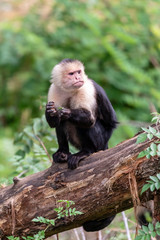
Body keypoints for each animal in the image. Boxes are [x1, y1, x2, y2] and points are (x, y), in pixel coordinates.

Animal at [45, 57, 117, 231]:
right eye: (71, 74)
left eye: (78, 72)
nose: (78, 77)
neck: (70, 90)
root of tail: (106, 145)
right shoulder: (54, 89)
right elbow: (54, 121)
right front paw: (51, 112)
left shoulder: (86, 88)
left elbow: (88, 119)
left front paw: (65, 111)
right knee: (62, 124)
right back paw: (63, 153)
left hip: (101, 140)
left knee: (88, 125)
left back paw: (86, 152)